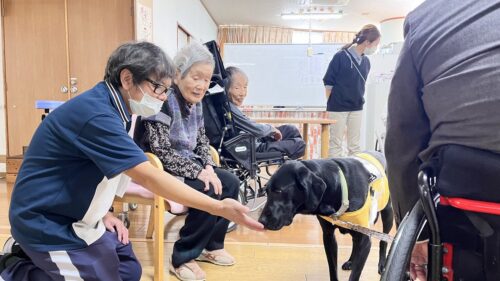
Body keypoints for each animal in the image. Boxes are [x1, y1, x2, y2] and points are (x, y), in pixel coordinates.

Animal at [258, 154, 394, 280]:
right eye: (266, 191)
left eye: (278, 191)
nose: (261, 221)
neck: (339, 188)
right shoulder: (329, 237)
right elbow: (332, 268)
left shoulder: (365, 240)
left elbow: (355, 274)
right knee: (355, 242)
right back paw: (351, 261)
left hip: (388, 214)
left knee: (383, 240)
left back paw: (382, 264)